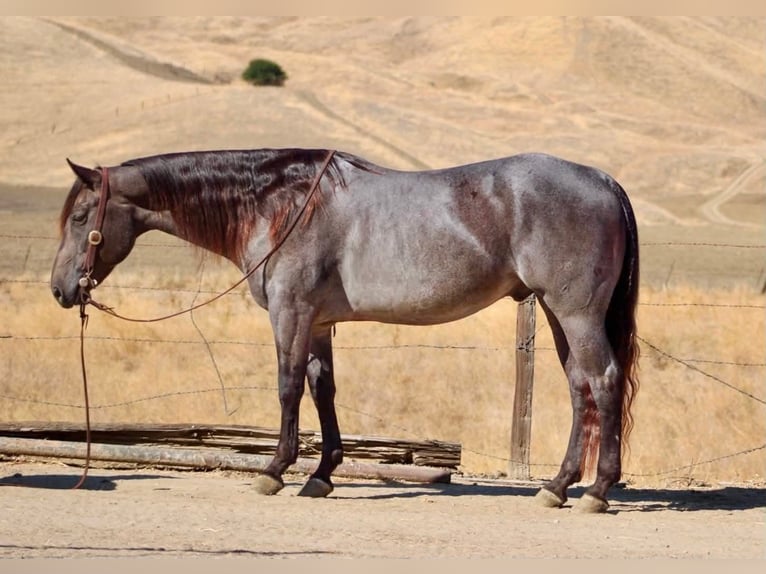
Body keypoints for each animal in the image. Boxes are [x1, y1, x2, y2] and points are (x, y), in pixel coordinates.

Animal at [50, 148, 639, 512]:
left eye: (80, 218)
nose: (60, 290)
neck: (281, 204)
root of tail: (604, 181)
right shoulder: (317, 322)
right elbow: (321, 388)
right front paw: (321, 474)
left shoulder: (289, 313)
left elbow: (288, 388)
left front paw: (275, 469)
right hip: (557, 314)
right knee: (580, 389)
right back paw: (558, 486)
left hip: (575, 313)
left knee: (604, 381)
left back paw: (597, 490)